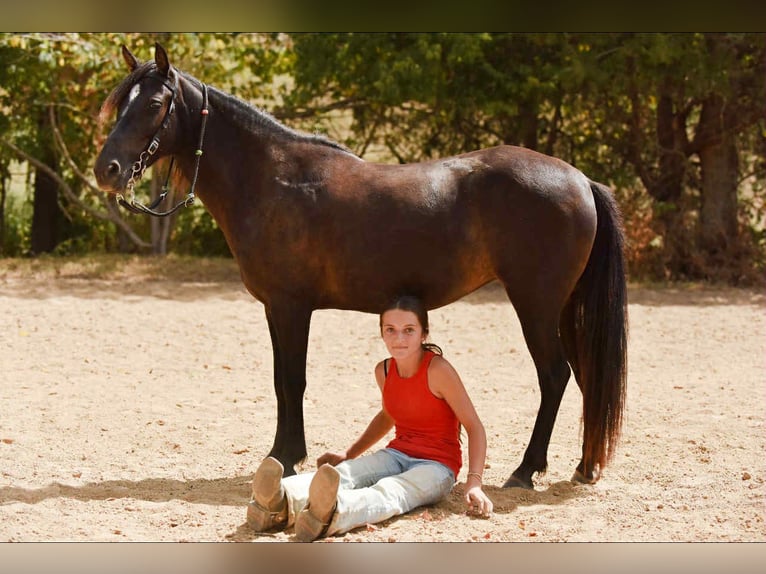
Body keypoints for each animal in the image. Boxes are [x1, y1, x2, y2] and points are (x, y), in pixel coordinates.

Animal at [94, 43, 628, 489]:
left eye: (155, 105)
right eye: (121, 104)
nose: (107, 170)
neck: (273, 178)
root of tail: (580, 179)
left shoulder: (291, 307)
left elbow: (292, 379)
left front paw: (286, 457)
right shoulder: (274, 308)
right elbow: (280, 379)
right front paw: (286, 453)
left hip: (535, 304)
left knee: (554, 375)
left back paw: (525, 470)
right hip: (562, 308)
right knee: (585, 376)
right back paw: (584, 467)